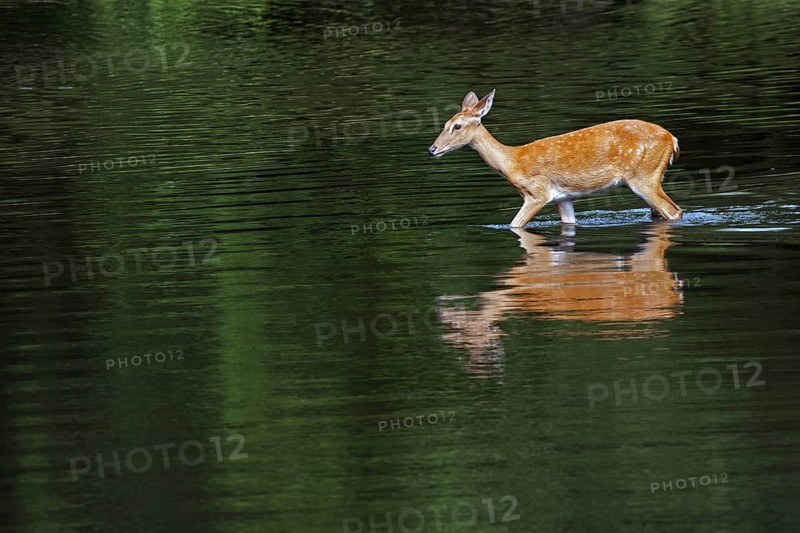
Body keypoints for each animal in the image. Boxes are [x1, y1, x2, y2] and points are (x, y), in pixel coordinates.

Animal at [428, 89, 683, 226]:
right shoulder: (562, 198)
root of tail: (673, 140)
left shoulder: (537, 193)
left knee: (674, 211)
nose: (432, 149)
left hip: (644, 177)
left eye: (457, 126)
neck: (512, 161)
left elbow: (514, 225)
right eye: (445, 123)